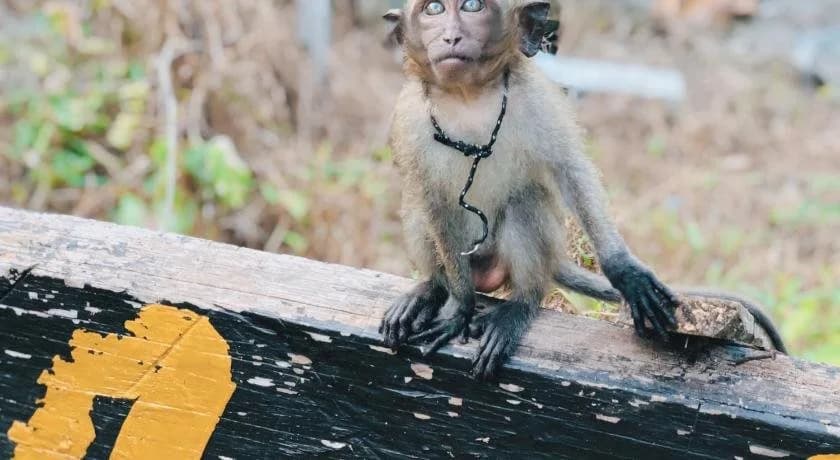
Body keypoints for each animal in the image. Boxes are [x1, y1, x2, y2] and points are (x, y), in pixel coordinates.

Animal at [377, 0, 785, 380]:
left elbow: (571, 170)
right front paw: (459, 306)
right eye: (433, 9)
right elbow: (432, 201)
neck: (467, 96)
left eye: (472, 6)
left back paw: (521, 303)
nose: (450, 37)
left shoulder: (538, 100)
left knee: (524, 202)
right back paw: (433, 288)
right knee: (419, 208)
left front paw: (623, 270)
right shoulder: (409, 119)